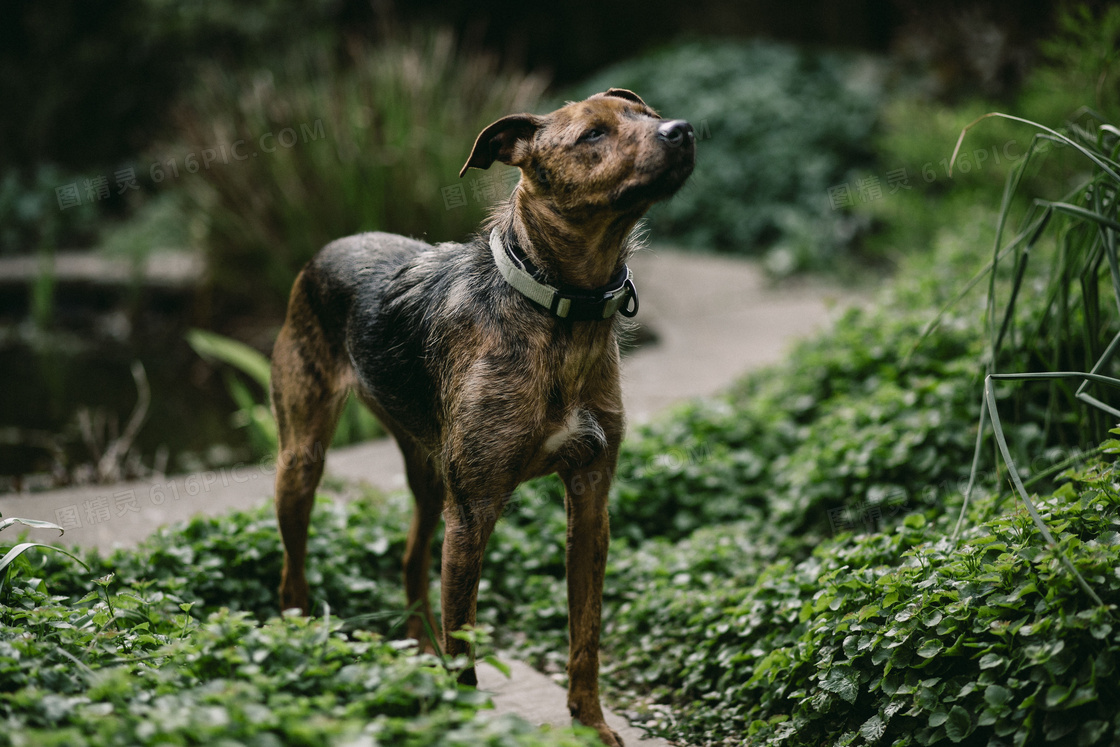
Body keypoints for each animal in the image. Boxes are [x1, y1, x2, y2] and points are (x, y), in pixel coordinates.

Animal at [271, 87, 689, 743]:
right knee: (293, 575)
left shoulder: (590, 501)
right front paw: (464, 720)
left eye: (647, 116)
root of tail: (327, 249)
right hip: (302, 461)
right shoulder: (474, 511)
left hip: (428, 476)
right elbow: (466, 645)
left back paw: (418, 654)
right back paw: (304, 650)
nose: (683, 131)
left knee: (411, 561)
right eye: (593, 135)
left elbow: (585, 635)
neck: (558, 309)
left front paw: (590, 724)